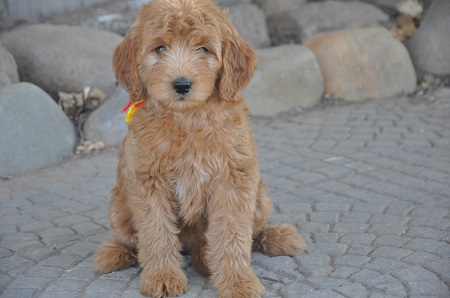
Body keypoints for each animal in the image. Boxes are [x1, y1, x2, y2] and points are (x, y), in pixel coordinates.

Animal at [94, 1, 306, 296]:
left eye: (203, 49)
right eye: (160, 48)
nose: (182, 85)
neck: (188, 119)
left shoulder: (234, 179)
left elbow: (232, 235)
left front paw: (238, 281)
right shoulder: (149, 181)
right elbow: (156, 232)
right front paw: (162, 276)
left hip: (260, 194)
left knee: (251, 233)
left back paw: (267, 238)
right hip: (119, 203)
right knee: (131, 240)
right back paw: (115, 253)